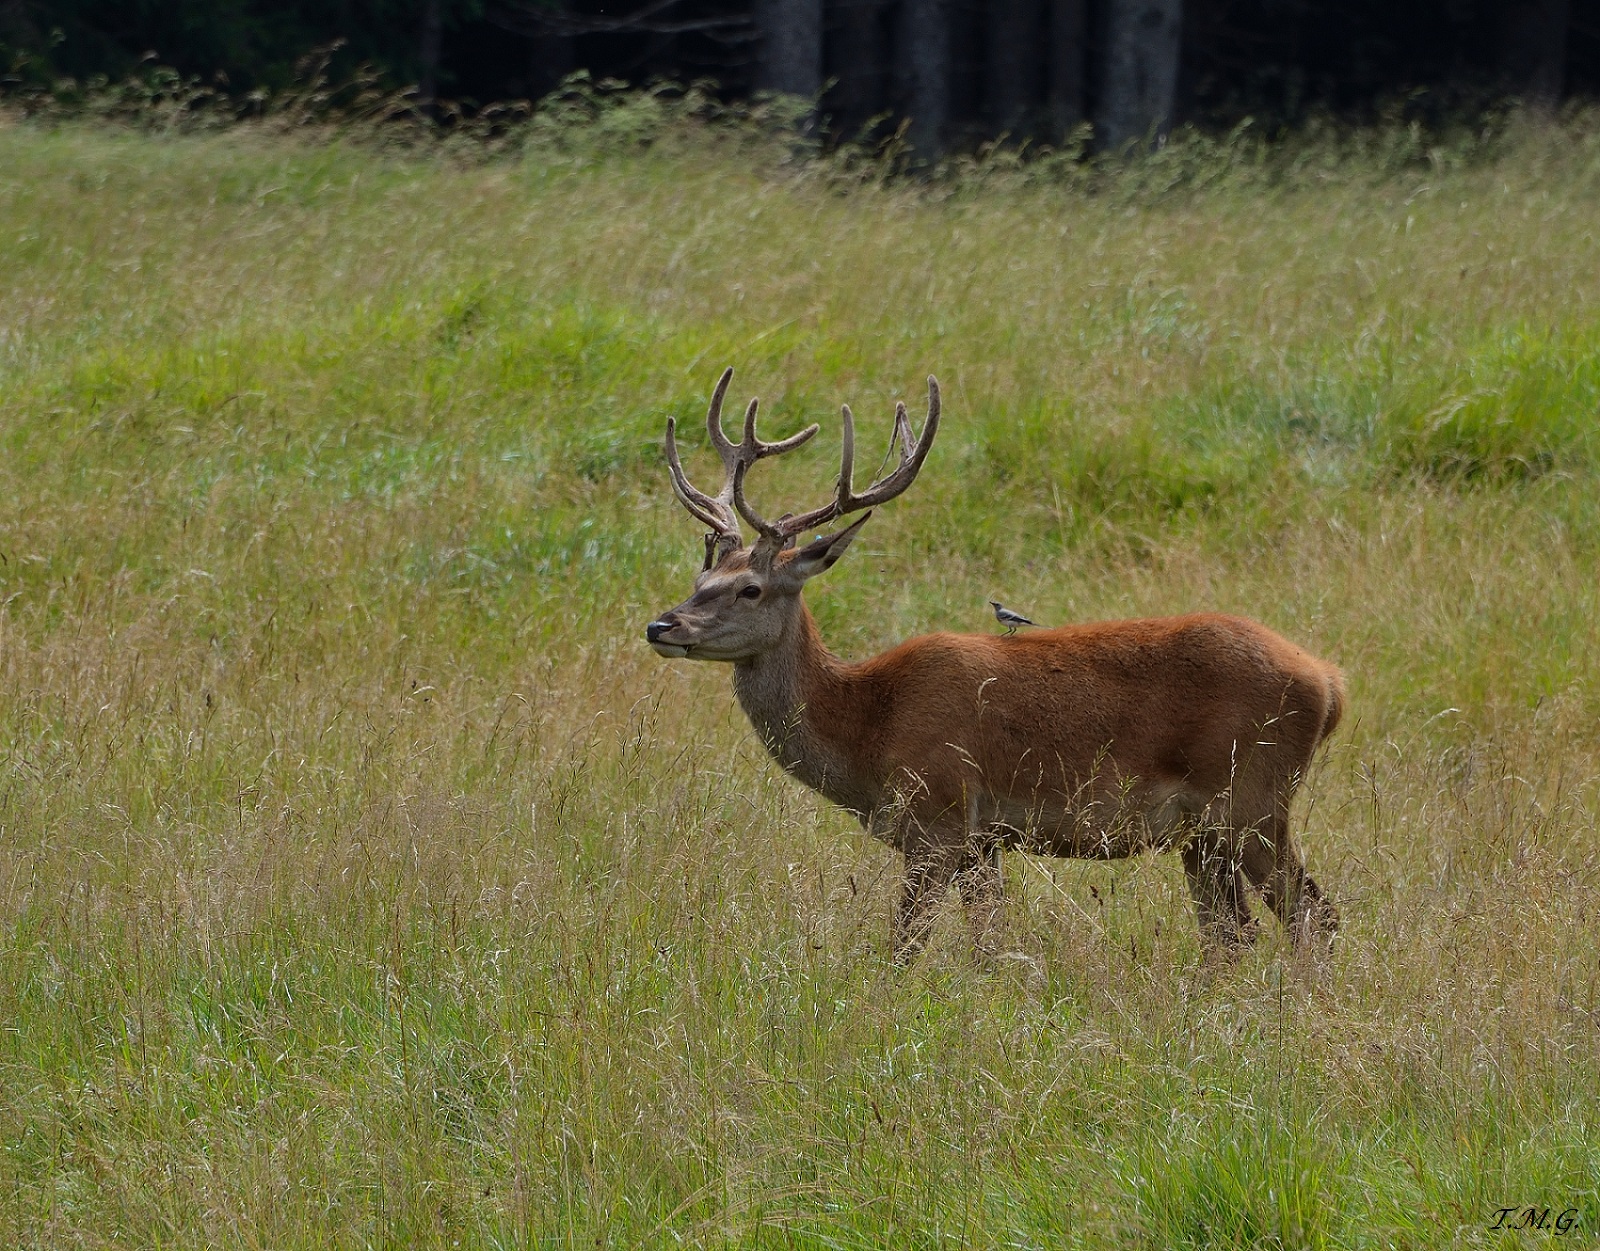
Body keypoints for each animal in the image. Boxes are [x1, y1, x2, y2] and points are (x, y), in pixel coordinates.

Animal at [646, 368, 1344, 965]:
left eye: (750, 589)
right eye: (701, 578)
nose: (661, 626)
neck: (867, 729)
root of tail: (1329, 683)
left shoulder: (940, 814)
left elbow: (908, 945)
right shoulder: (986, 838)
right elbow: (993, 942)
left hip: (1253, 795)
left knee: (1314, 916)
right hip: (1209, 832)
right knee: (1234, 934)